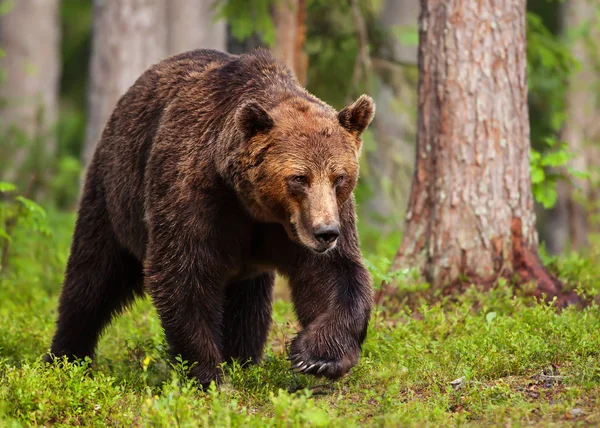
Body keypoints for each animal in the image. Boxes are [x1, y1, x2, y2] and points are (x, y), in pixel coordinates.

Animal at [45, 47, 376, 388]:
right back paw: (65, 358)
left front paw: (317, 357)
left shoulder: (303, 224)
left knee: (249, 304)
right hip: (116, 192)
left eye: (339, 177)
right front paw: (208, 374)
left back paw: (243, 359)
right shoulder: (195, 196)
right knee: (92, 277)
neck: (253, 205)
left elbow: (333, 274)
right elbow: (182, 274)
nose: (326, 232)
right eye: (299, 178)